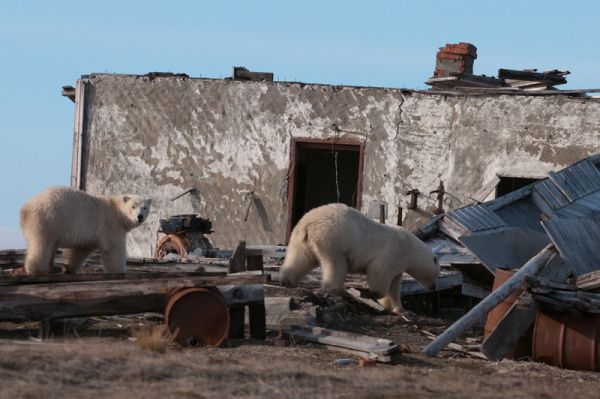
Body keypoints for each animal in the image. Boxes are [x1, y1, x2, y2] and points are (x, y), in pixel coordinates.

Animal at [19, 187, 151, 276]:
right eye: (133, 206)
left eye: (144, 207)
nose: (140, 216)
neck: (118, 212)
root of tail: (25, 208)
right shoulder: (110, 224)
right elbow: (113, 248)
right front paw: (120, 271)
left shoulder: (91, 233)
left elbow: (81, 250)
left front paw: (69, 268)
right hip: (48, 219)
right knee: (42, 243)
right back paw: (39, 269)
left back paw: (52, 268)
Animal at [282, 205, 440, 314]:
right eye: (436, 275)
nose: (433, 288)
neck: (412, 249)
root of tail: (309, 223)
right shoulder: (395, 252)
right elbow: (379, 270)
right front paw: (370, 293)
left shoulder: (399, 265)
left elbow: (394, 286)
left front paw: (400, 309)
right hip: (335, 239)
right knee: (336, 264)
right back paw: (339, 290)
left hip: (301, 238)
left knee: (300, 257)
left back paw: (286, 280)